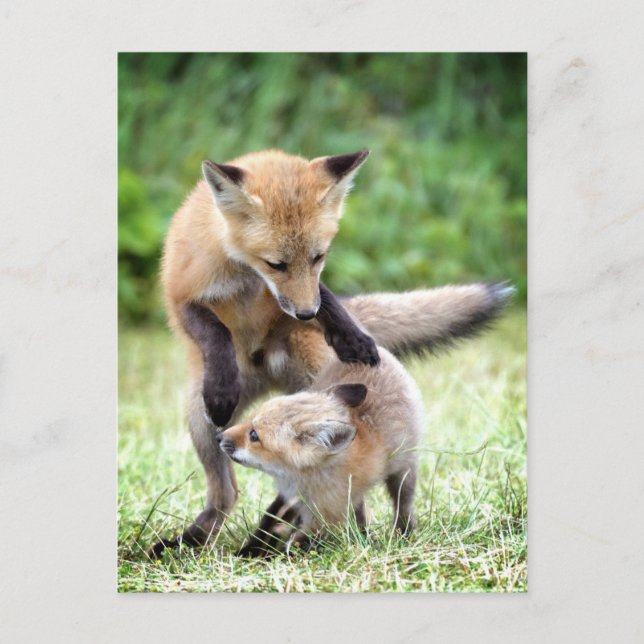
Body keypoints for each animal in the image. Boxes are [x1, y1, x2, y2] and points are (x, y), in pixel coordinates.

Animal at [218, 346, 424, 556]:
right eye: (248, 420)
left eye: (253, 435)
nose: (219, 436)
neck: (301, 479)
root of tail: (382, 352)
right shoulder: (289, 498)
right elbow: (268, 522)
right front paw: (249, 551)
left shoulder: (325, 517)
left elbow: (295, 545)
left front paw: (268, 556)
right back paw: (364, 534)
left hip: (404, 472)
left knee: (403, 503)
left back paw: (403, 532)